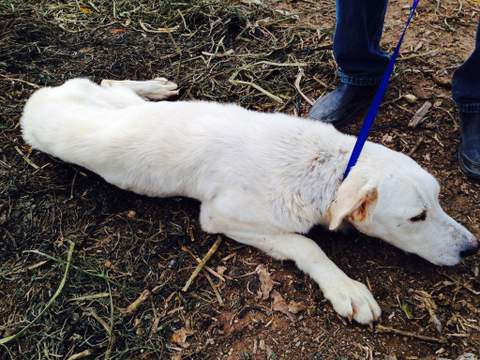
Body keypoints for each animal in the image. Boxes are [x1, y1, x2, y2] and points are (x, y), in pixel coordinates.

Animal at [20, 78, 478, 324]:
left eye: (439, 200)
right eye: (417, 216)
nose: (472, 248)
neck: (324, 169)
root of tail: (36, 98)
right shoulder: (222, 216)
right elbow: (308, 245)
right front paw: (345, 287)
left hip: (116, 102)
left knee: (110, 83)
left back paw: (152, 87)